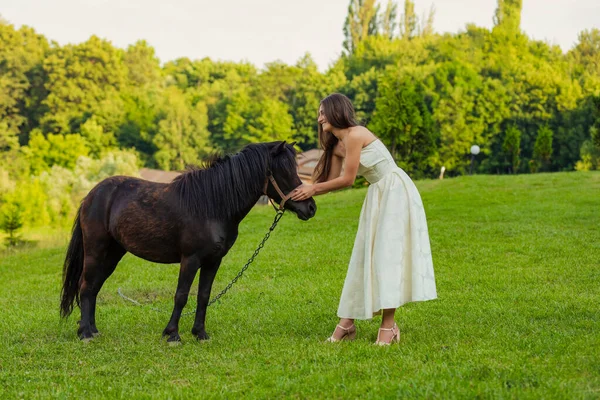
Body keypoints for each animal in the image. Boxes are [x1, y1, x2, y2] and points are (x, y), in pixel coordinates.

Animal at [58, 141, 316, 340]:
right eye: (284, 171)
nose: (310, 207)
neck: (212, 205)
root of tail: (91, 195)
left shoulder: (213, 261)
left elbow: (203, 295)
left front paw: (200, 333)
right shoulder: (190, 259)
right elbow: (181, 295)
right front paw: (172, 334)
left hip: (112, 254)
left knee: (93, 288)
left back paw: (92, 330)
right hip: (96, 251)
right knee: (86, 286)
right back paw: (85, 334)